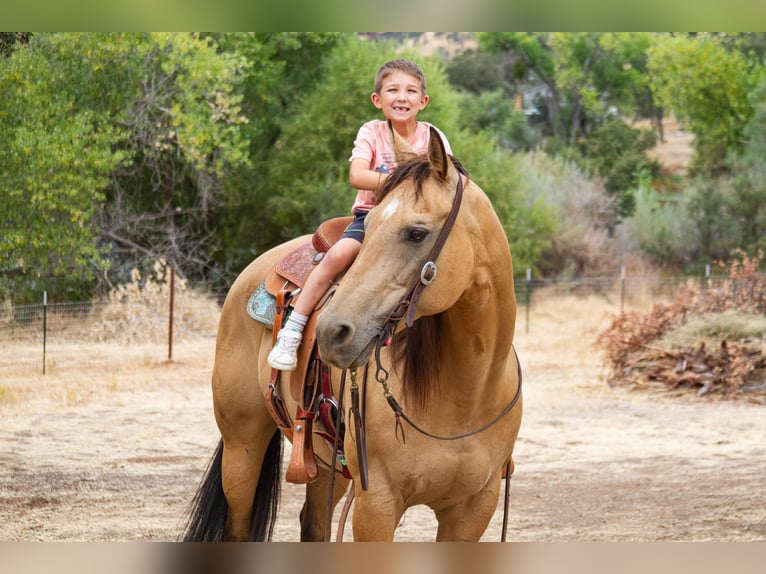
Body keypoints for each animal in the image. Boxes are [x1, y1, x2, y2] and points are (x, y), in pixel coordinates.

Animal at [183, 127, 524, 544]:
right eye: (370, 224)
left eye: (416, 233)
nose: (331, 331)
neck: (467, 395)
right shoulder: (376, 504)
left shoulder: (474, 508)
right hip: (242, 446)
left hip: (321, 462)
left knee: (313, 524)